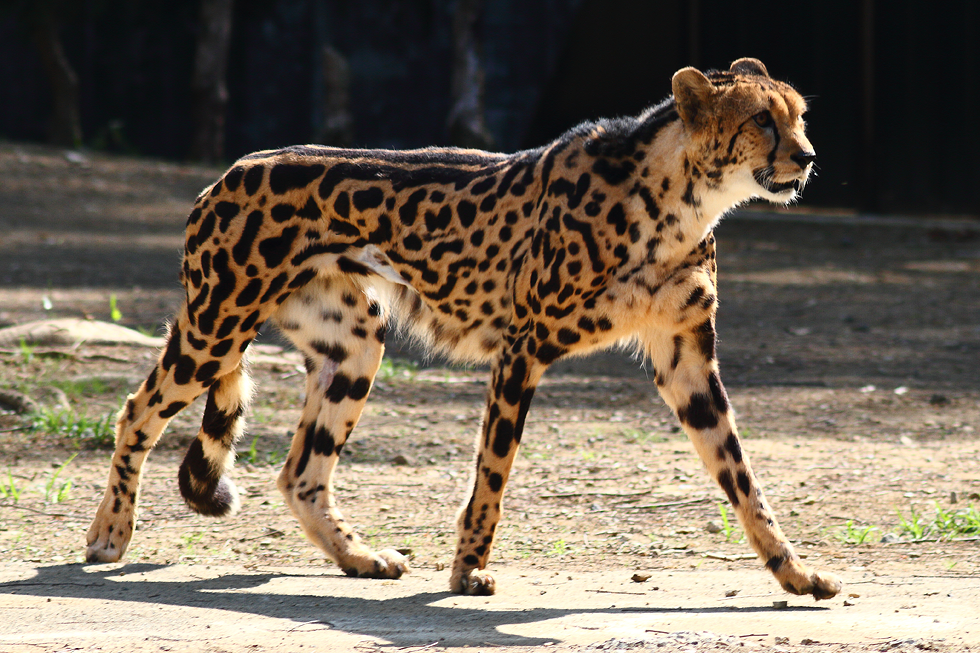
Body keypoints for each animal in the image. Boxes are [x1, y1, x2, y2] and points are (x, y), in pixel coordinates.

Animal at [86, 58, 842, 600]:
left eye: (801, 117)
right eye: (762, 119)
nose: (807, 157)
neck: (679, 198)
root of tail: (233, 169)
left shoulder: (686, 359)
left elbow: (742, 477)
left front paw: (794, 572)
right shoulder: (523, 346)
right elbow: (494, 471)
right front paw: (469, 568)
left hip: (354, 341)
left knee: (301, 471)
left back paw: (360, 557)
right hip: (218, 325)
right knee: (137, 410)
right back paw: (109, 534)